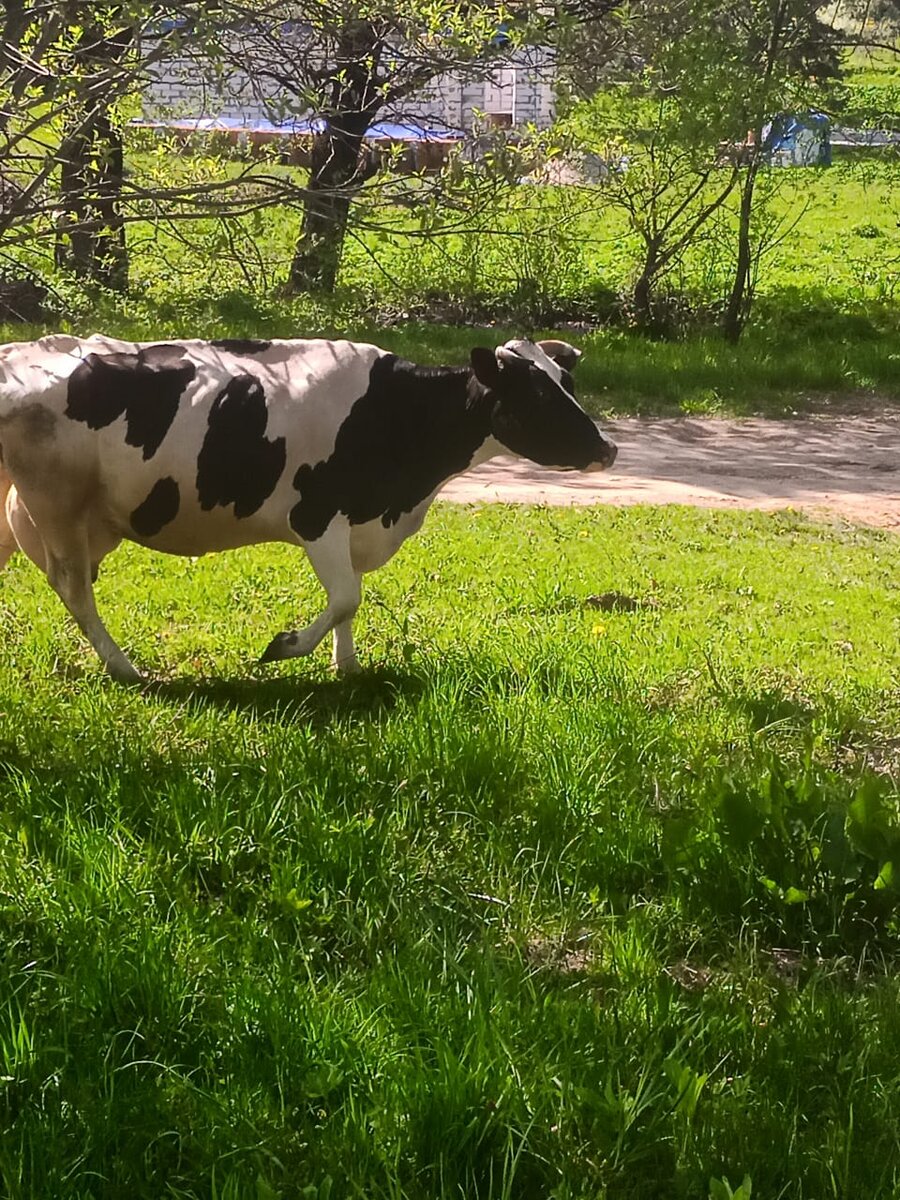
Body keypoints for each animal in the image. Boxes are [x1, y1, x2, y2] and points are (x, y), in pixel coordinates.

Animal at [0, 333, 619, 681]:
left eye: (566, 382)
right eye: (536, 394)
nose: (608, 448)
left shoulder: (358, 524)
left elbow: (351, 601)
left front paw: (347, 668)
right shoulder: (318, 516)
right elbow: (346, 598)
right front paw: (286, 647)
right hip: (56, 501)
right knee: (73, 585)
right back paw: (124, 668)